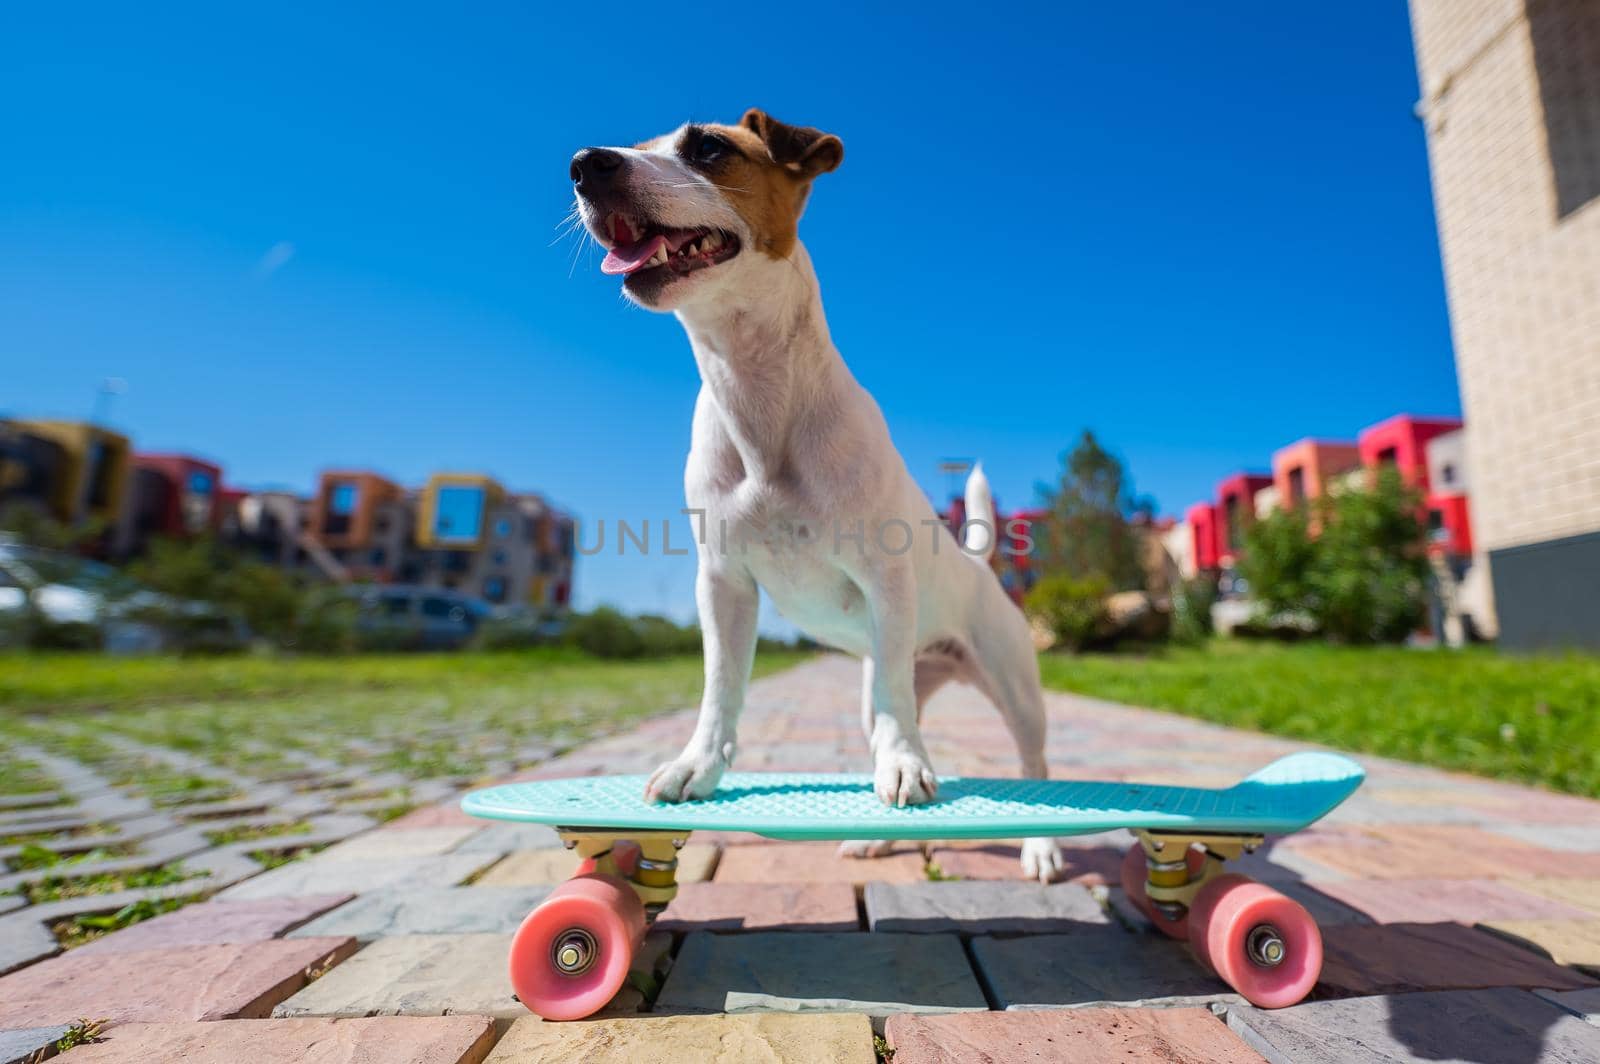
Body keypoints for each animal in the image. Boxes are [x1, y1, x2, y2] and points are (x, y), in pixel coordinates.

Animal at [572, 112, 1062, 883]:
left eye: (707, 146)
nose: (585, 165)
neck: (756, 392)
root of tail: (978, 566)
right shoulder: (724, 585)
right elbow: (721, 687)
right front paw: (697, 766)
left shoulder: (884, 577)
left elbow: (898, 717)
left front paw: (904, 769)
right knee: (897, 707)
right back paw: (878, 839)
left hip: (1012, 686)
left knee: (1026, 758)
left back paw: (1038, 844)